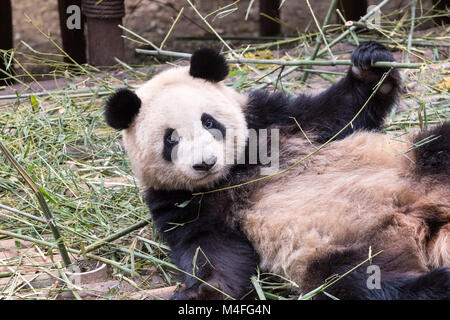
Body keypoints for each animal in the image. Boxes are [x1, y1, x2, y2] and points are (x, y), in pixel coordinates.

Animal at [103, 42, 450, 300]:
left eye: (209, 121)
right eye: (171, 139)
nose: (205, 163)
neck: (233, 172)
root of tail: (419, 222)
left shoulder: (275, 120)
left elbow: (341, 113)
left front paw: (369, 65)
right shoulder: (181, 200)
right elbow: (211, 247)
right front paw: (203, 291)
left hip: (413, 161)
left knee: (437, 142)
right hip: (350, 249)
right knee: (365, 283)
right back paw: (436, 283)